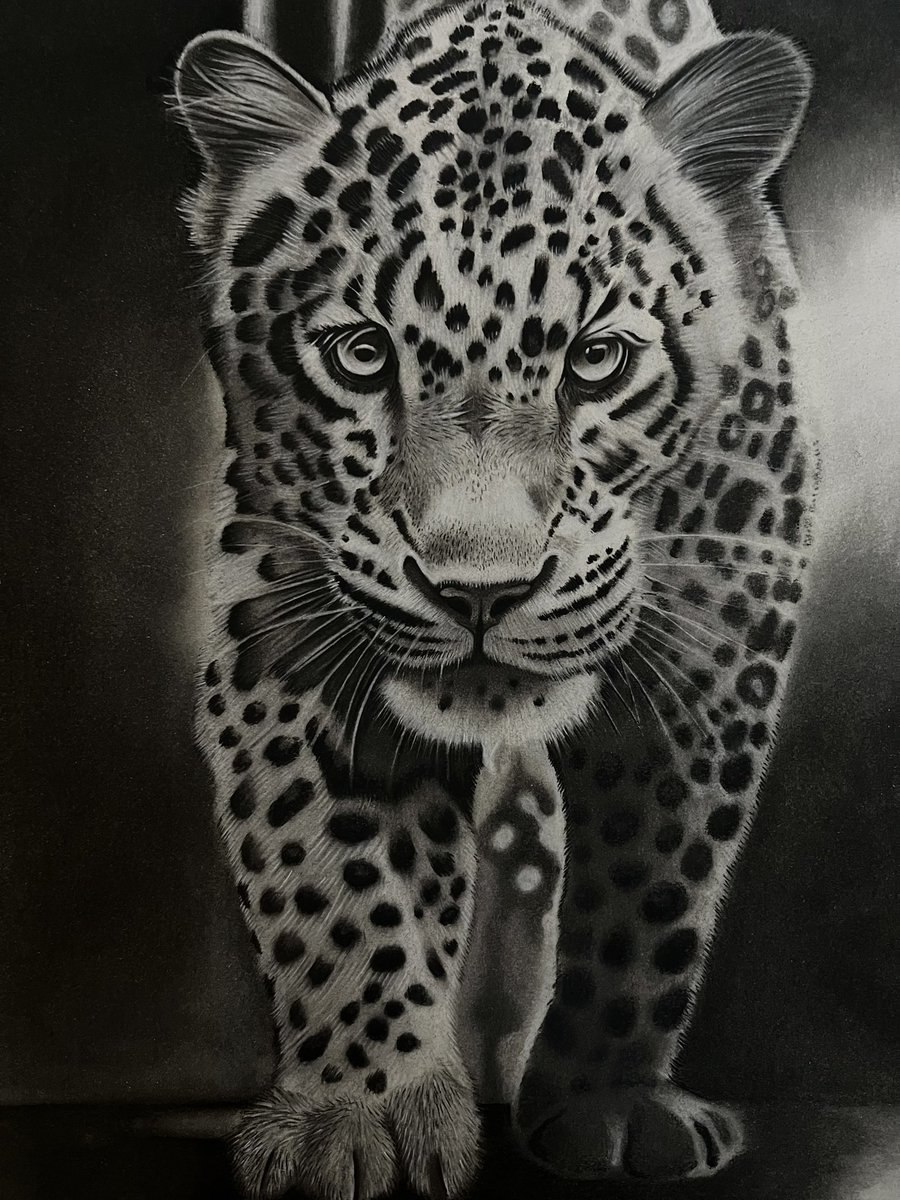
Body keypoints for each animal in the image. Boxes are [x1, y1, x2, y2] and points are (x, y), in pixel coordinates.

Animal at [174, 1, 817, 1196]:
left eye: (599, 360)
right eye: (362, 355)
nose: (482, 591)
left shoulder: (733, 601)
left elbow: (657, 880)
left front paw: (610, 1098)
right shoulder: (282, 605)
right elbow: (330, 875)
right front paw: (361, 1107)